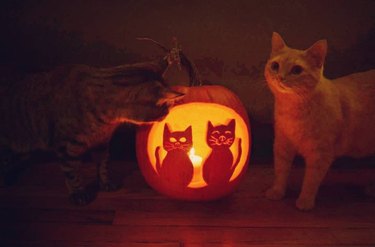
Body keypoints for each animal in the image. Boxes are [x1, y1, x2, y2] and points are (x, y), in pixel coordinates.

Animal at [0, 51, 186, 205]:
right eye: (164, 109)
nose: (167, 115)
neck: (108, 119)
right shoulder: (66, 147)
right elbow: (73, 173)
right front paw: (78, 193)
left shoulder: (102, 144)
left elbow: (103, 166)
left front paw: (105, 183)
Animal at [264, 31, 375, 210]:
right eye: (275, 66)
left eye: (297, 70)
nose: (280, 78)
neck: (291, 110)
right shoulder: (282, 145)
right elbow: (280, 172)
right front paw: (277, 192)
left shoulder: (320, 155)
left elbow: (311, 181)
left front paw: (305, 201)